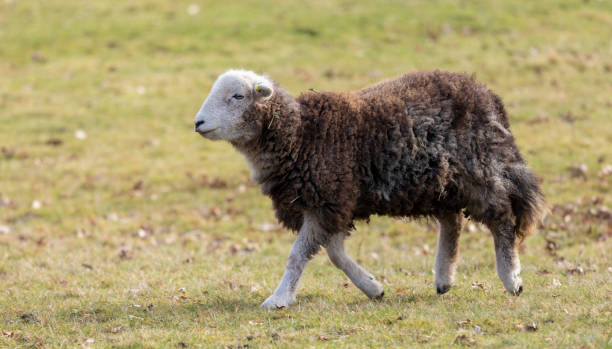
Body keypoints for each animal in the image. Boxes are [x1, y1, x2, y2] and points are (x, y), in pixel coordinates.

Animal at [194, 68, 544, 308]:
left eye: (238, 96)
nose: (198, 123)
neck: (302, 135)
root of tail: (487, 94)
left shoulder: (329, 201)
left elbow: (297, 255)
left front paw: (278, 299)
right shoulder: (334, 202)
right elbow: (335, 254)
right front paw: (373, 287)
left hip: (478, 172)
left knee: (501, 217)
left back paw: (511, 278)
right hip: (442, 182)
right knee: (453, 221)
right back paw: (444, 278)